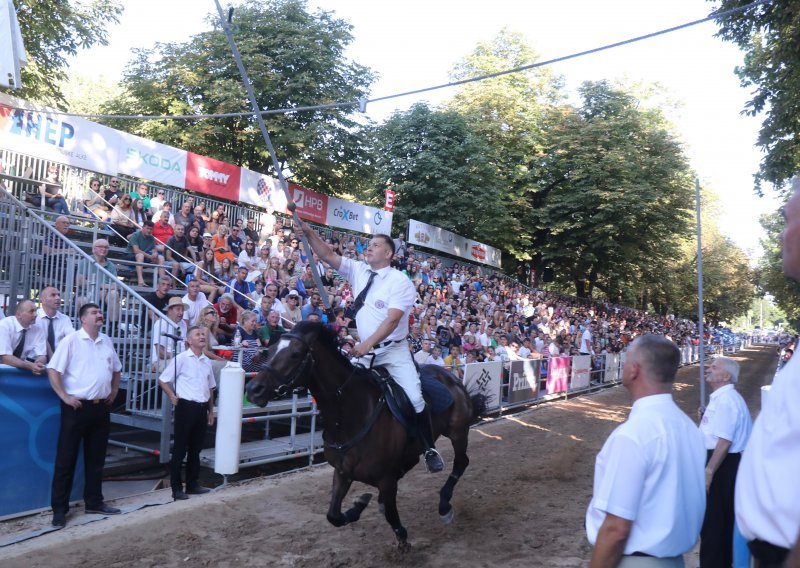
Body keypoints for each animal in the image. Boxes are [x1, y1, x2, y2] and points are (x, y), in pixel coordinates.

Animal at [244, 322, 484, 548]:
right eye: (270, 350)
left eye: (295, 354)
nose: (254, 389)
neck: (350, 416)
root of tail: (451, 376)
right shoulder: (342, 472)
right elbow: (333, 515)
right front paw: (360, 504)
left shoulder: (386, 479)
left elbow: (391, 514)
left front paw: (402, 537)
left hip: (457, 432)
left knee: (461, 462)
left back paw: (444, 506)